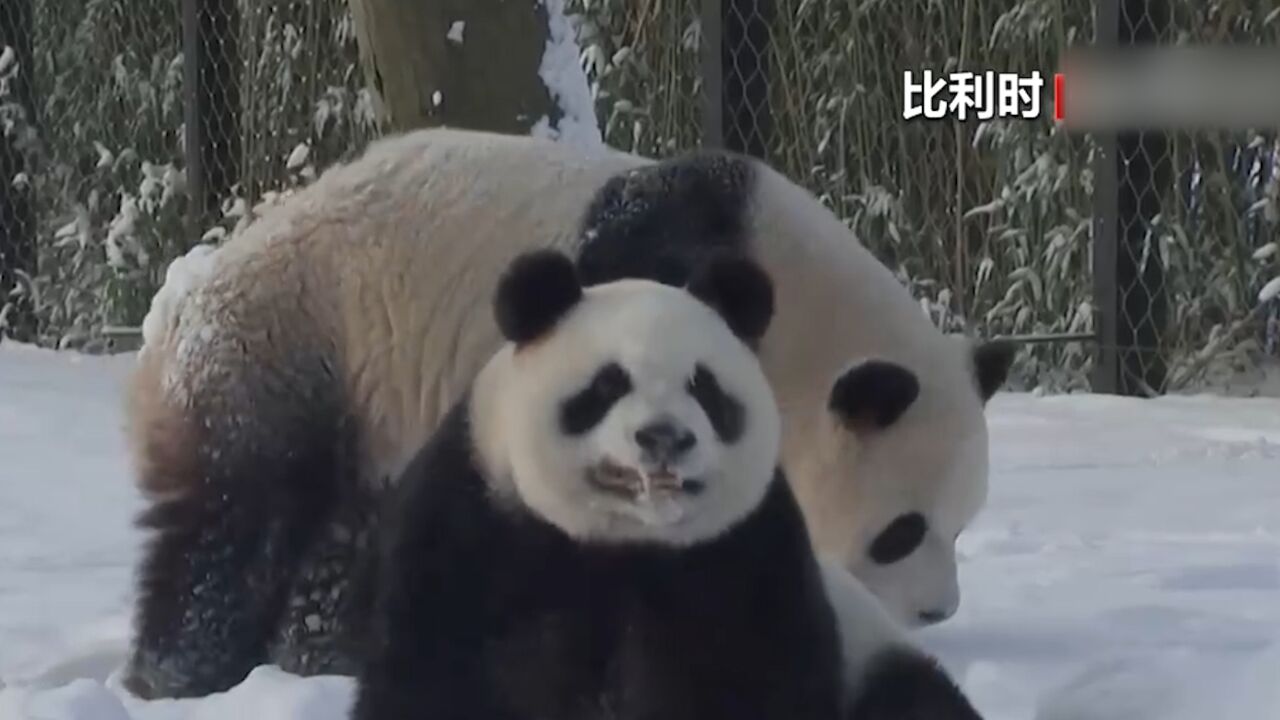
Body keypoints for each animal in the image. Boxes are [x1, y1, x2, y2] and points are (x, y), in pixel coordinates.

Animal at [350, 245, 977, 717]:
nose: (664, 437)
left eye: (704, 387)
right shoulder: (475, 527)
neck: (623, 538)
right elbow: (435, 668)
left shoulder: (744, 555)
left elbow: (756, 677)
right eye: (608, 384)